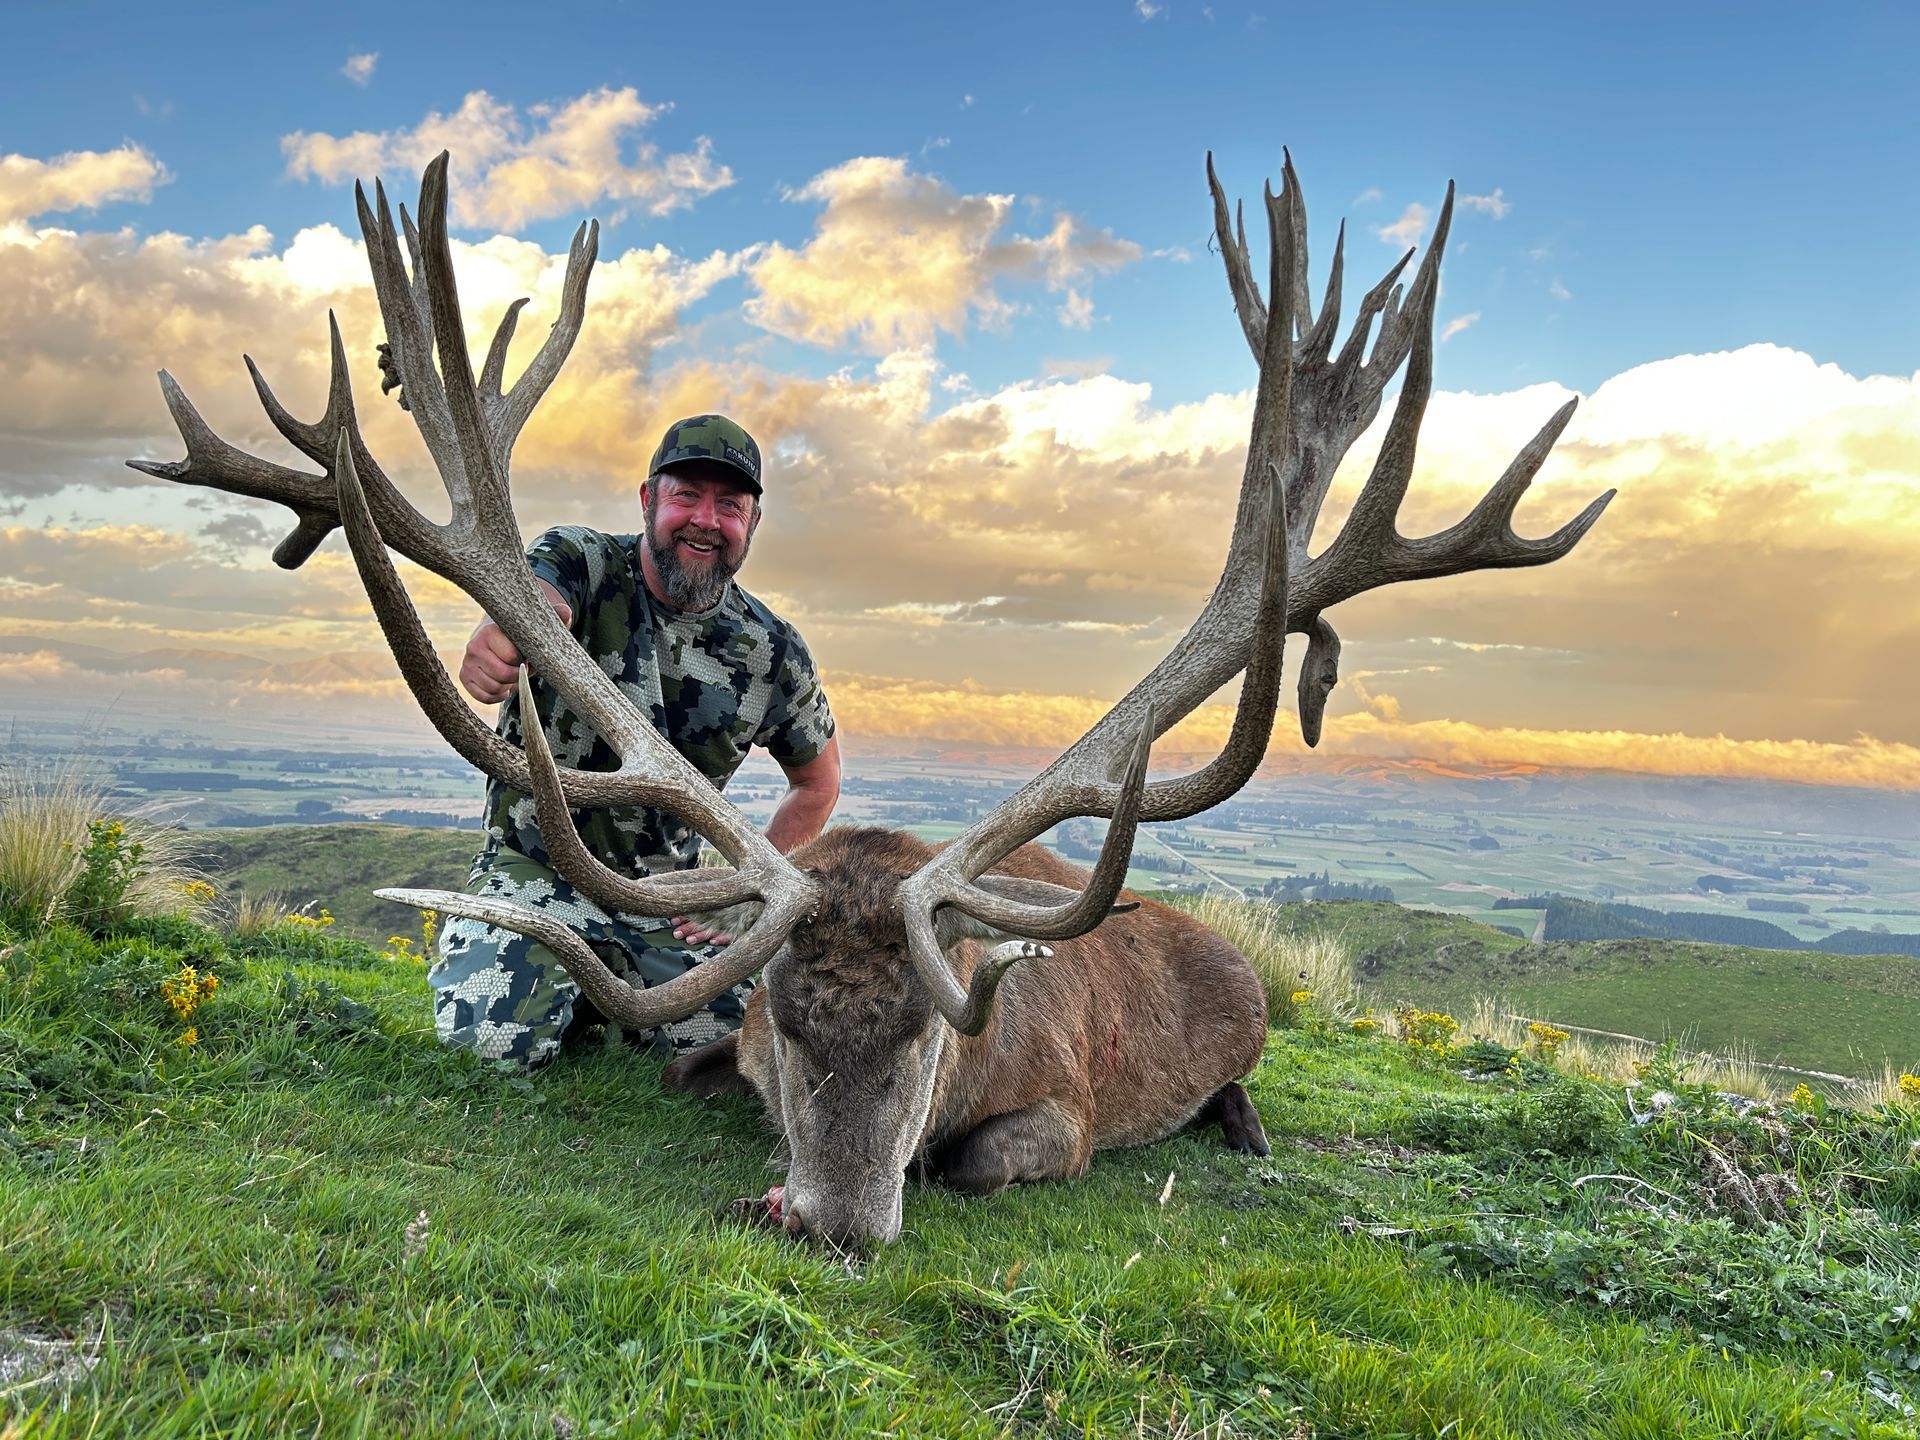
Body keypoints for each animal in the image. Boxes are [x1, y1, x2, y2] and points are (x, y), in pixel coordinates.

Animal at [131, 149, 1611, 1249]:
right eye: (785, 1031)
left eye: (927, 1039)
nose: (833, 1221)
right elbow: (674, 1062)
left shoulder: (1061, 1111)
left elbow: (981, 1162)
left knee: (1242, 1089)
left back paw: (1240, 1128)